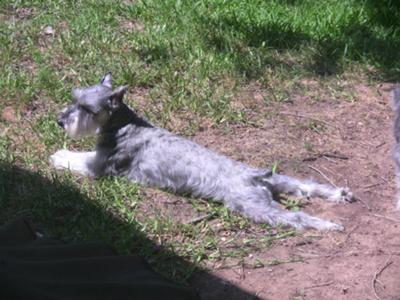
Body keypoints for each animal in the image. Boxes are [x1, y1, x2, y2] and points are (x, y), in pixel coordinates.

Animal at [50, 72, 354, 230]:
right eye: (73, 99)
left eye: (86, 108)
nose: (60, 121)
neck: (126, 124)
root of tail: (255, 177)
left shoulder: (99, 166)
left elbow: (78, 160)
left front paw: (59, 155)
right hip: (280, 181)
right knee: (306, 185)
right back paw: (339, 194)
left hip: (253, 207)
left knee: (295, 217)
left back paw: (327, 225)